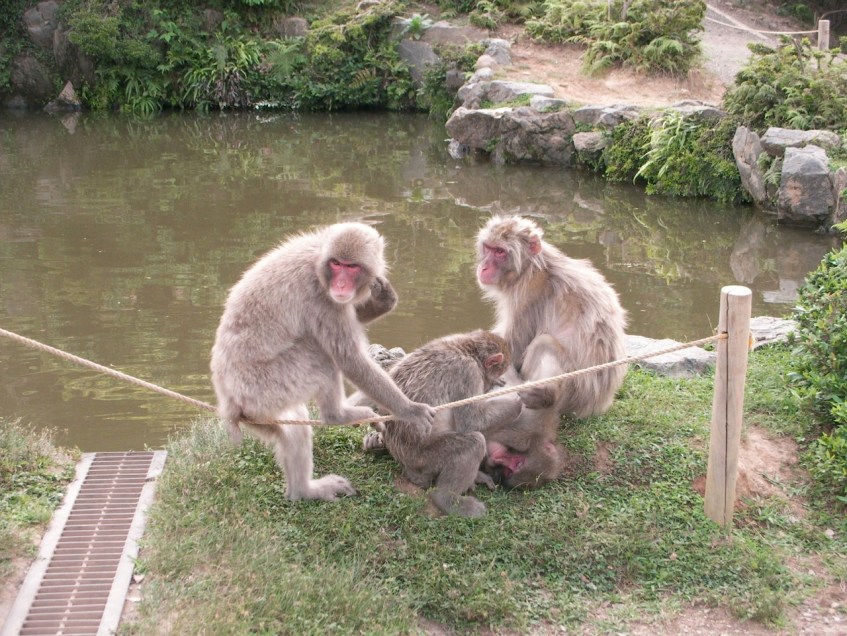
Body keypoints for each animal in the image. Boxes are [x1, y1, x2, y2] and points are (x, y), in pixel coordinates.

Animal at [210, 222, 436, 502]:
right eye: (337, 264)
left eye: (352, 266)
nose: (340, 284)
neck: (318, 262)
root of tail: (229, 401)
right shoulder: (319, 297)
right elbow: (348, 358)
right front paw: (409, 410)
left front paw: (383, 301)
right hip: (264, 385)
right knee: (320, 359)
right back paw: (336, 416)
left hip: (263, 406)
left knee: (293, 425)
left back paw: (303, 491)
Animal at [353, 330, 523, 517]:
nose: (492, 380)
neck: (467, 348)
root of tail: (407, 466)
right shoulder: (468, 372)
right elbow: (471, 421)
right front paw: (518, 401)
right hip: (423, 459)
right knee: (474, 442)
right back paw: (446, 498)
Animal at [476, 215, 627, 487]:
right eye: (488, 248)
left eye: (500, 252)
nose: (484, 268)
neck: (533, 267)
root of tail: (600, 402)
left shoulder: (527, 294)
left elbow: (511, 347)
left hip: (575, 393)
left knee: (544, 343)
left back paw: (544, 393)